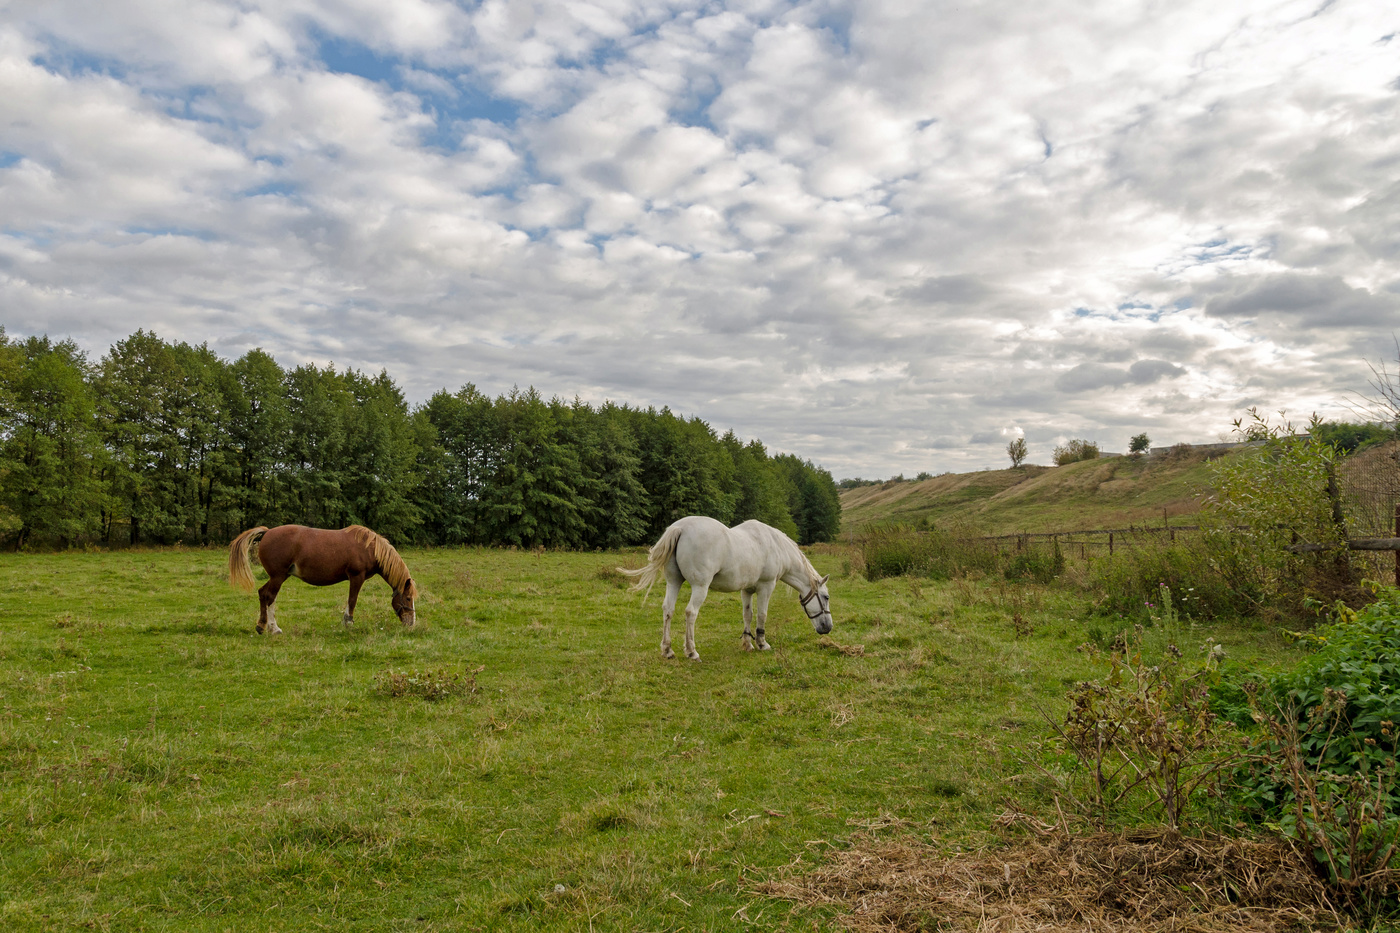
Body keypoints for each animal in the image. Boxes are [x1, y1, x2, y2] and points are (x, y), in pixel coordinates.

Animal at [226, 523, 414, 633]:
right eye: (408, 598)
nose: (411, 623)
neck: (369, 548)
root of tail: (267, 532)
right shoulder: (356, 577)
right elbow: (352, 600)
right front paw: (349, 623)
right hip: (278, 577)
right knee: (270, 597)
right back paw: (274, 628)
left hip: (278, 576)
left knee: (262, 593)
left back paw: (261, 626)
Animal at [621, 512, 828, 658]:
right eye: (826, 597)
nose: (827, 628)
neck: (775, 546)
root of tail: (680, 528)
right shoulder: (766, 587)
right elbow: (762, 615)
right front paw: (762, 644)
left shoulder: (747, 590)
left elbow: (748, 615)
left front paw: (748, 644)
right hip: (700, 587)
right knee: (690, 613)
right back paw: (691, 651)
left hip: (674, 582)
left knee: (668, 610)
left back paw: (667, 650)